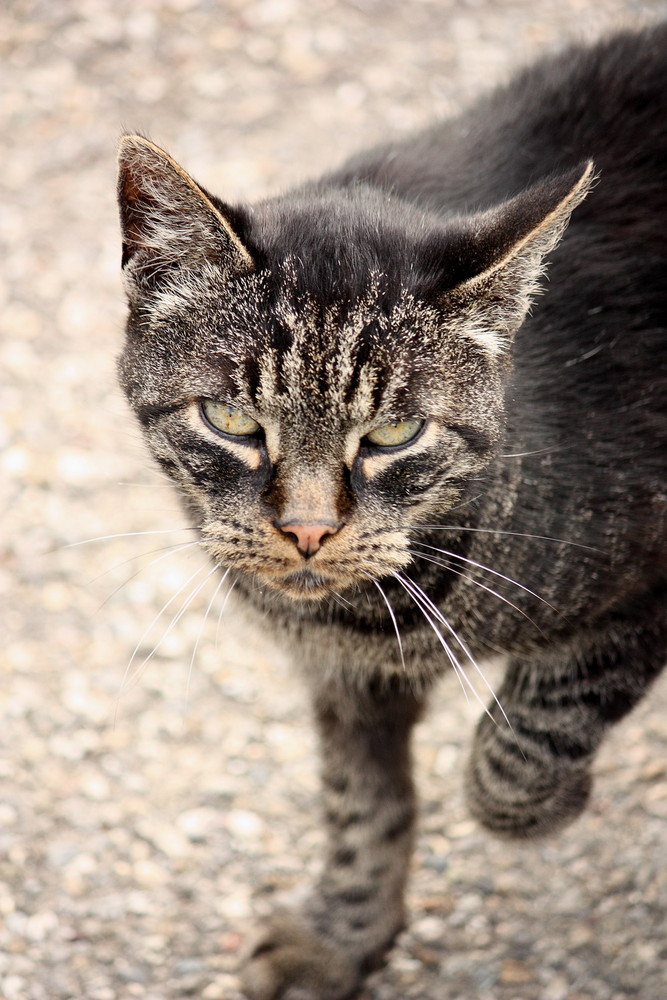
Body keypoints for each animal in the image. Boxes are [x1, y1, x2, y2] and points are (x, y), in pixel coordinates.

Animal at [116, 23, 667, 1000]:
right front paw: (341, 939)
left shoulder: (643, 593)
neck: (369, 619)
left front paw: (553, 802)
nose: (306, 529)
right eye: (230, 420)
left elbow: (525, 743)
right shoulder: (344, 682)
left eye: (395, 432)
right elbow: (362, 807)